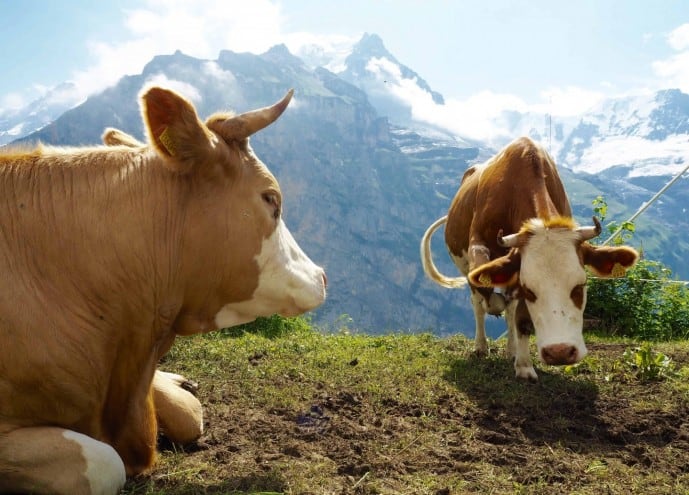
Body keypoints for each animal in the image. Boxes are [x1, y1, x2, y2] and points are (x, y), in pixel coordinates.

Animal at [420, 138, 640, 382]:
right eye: (530, 290)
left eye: (580, 286)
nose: (560, 352)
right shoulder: (479, 249)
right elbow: (495, 301)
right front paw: (520, 361)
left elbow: (518, 316)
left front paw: (522, 362)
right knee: (478, 303)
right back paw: (481, 346)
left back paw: (511, 349)